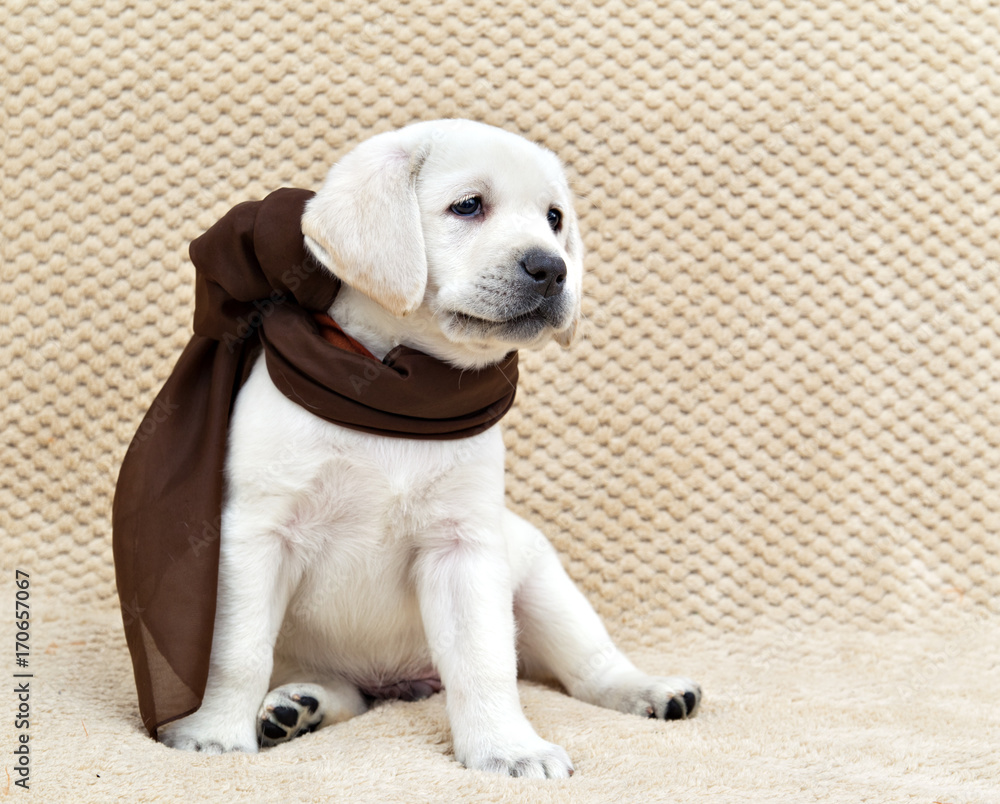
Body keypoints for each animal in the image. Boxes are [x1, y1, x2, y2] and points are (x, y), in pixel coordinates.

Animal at [160, 119, 700, 780]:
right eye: (468, 206)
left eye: (553, 218)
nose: (553, 269)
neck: (396, 390)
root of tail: (397, 683)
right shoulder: (254, 537)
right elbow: (234, 653)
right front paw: (213, 734)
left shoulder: (462, 546)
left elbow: (486, 663)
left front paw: (506, 749)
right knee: (342, 690)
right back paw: (296, 707)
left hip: (543, 584)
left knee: (592, 666)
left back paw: (651, 690)